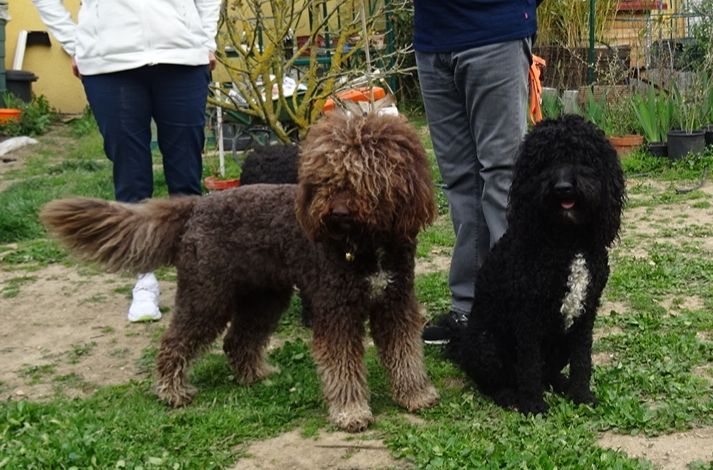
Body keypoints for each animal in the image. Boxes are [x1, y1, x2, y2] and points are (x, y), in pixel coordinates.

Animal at [40, 109, 440, 430]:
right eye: (326, 178)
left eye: (365, 176)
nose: (336, 213)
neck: (368, 244)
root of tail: (196, 207)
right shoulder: (336, 311)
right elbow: (343, 365)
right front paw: (351, 412)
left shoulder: (396, 303)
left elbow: (405, 353)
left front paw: (415, 395)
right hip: (207, 296)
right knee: (174, 342)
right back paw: (172, 391)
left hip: (263, 297)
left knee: (237, 340)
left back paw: (255, 375)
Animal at [450, 114, 624, 414]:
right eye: (545, 162)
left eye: (583, 157)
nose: (564, 188)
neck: (567, 241)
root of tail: (461, 346)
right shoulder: (528, 316)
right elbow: (529, 366)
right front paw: (534, 405)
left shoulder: (585, 314)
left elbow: (582, 360)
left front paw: (581, 395)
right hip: (487, 344)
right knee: (494, 382)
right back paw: (509, 396)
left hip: (561, 342)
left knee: (548, 372)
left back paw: (561, 384)